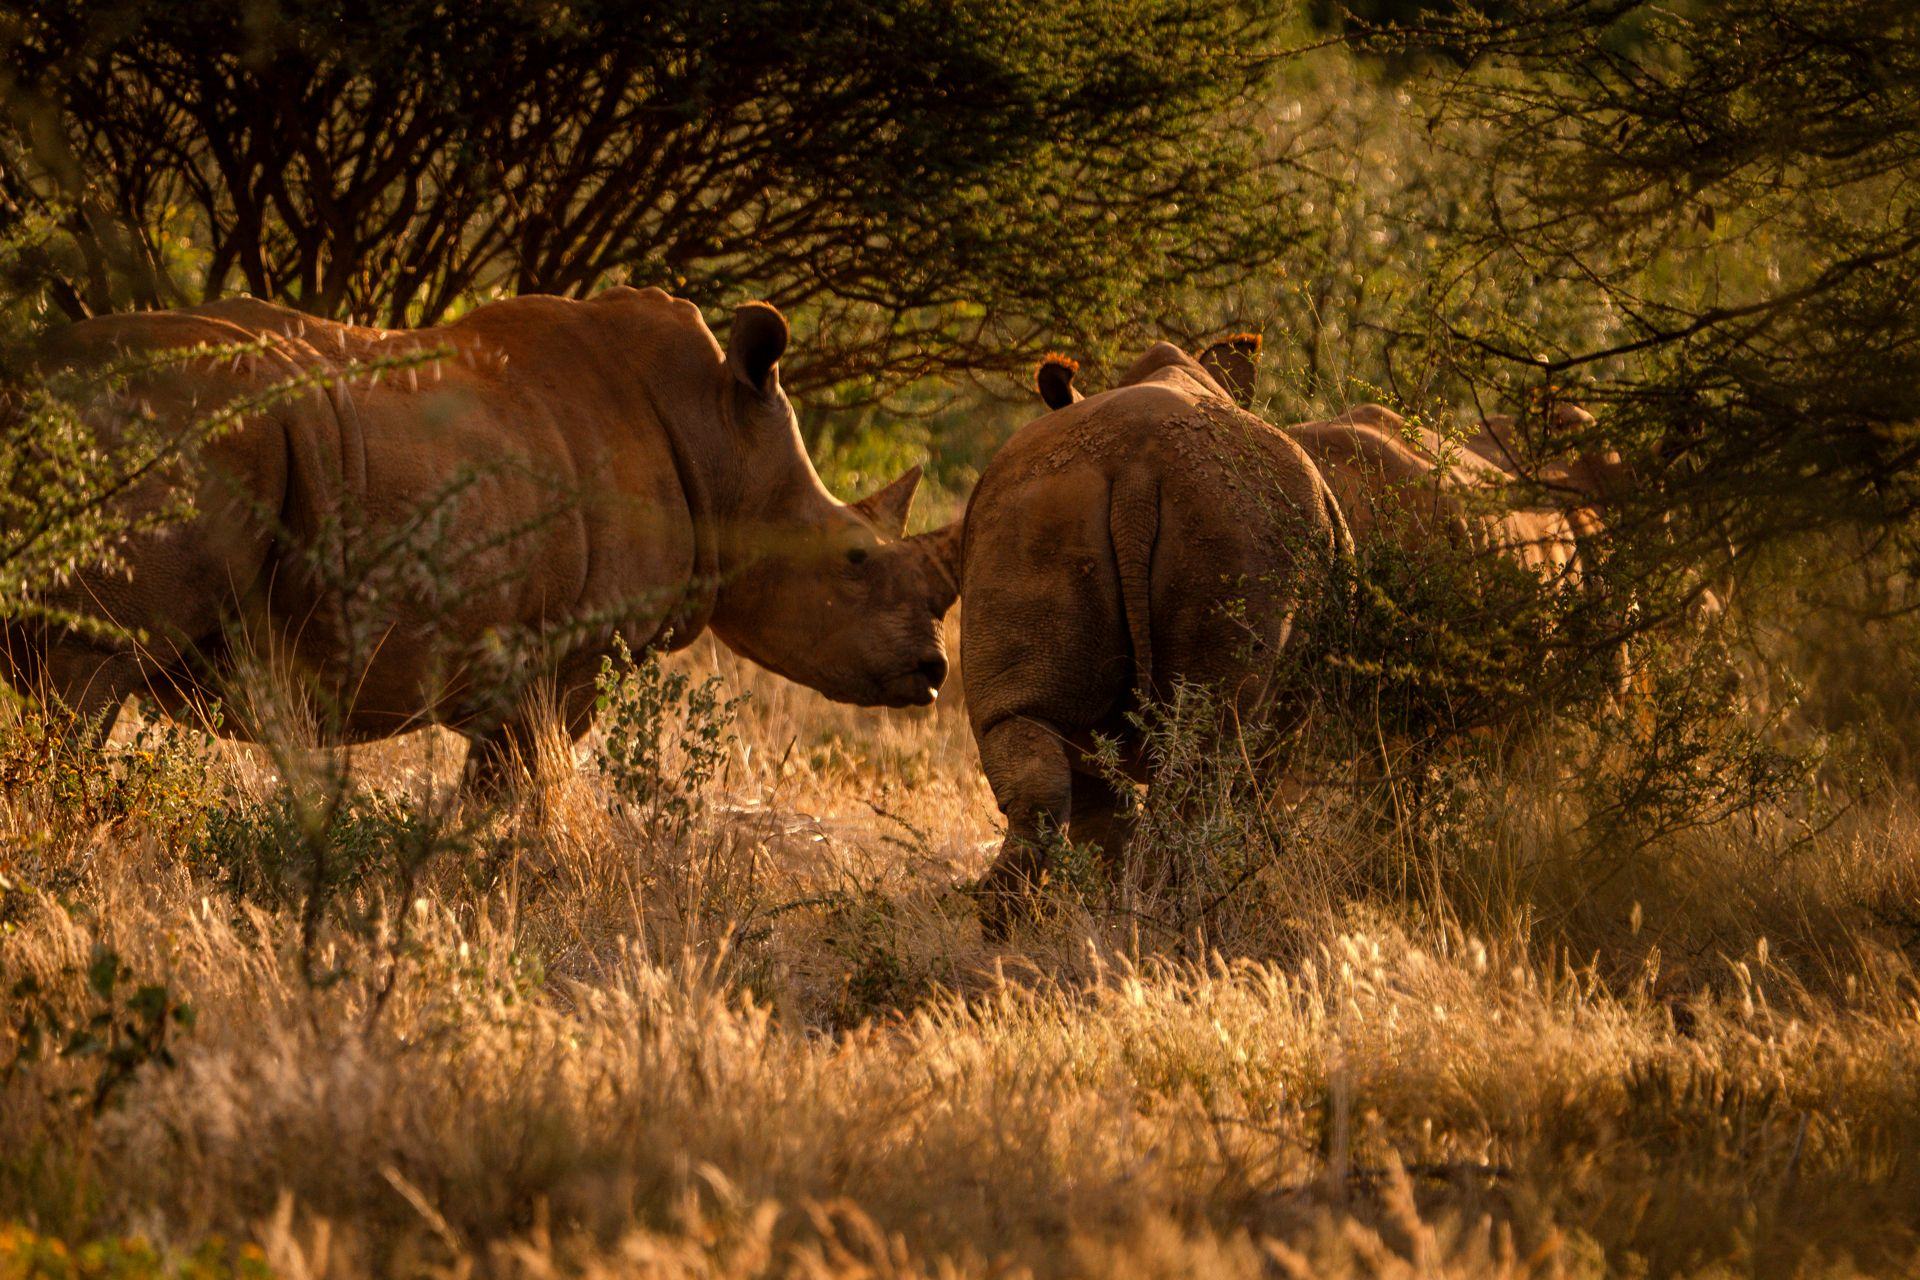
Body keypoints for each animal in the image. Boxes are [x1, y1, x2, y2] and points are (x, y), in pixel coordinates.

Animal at [6, 287, 962, 788]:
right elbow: (522, 787)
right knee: (89, 678)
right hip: (172, 423)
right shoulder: (565, 652)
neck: (728, 441)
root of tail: (33, 379)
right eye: (854, 559)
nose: (932, 672)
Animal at [962, 341, 1348, 932]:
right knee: (1201, 766)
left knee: (1026, 740)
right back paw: (1167, 919)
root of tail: (1139, 472)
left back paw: (1005, 927)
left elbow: (1102, 815)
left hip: (1033, 517)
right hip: (1232, 527)